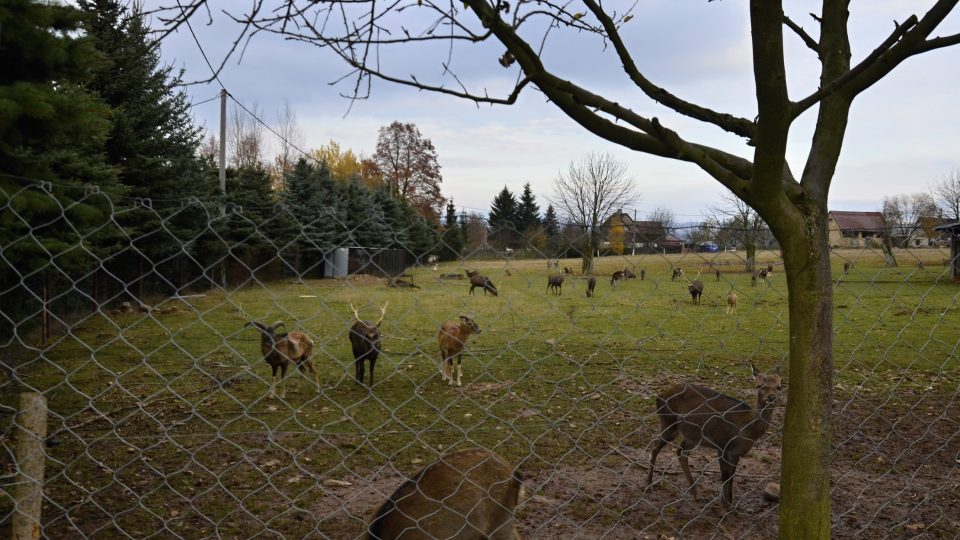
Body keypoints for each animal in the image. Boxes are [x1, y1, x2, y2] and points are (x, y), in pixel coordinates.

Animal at [644, 362, 788, 510]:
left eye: (779, 386)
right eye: (760, 386)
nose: (771, 397)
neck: (746, 429)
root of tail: (659, 396)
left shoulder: (736, 453)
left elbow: (731, 476)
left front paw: (731, 505)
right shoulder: (722, 445)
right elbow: (725, 475)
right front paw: (724, 506)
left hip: (692, 435)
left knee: (680, 452)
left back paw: (695, 492)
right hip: (668, 423)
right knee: (655, 446)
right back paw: (648, 483)